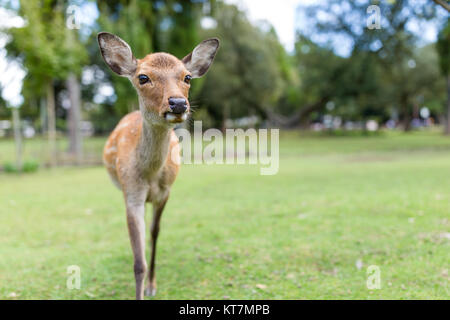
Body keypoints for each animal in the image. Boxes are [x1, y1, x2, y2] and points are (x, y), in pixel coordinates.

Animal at [97, 31, 219, 298]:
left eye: (187, 77)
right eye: (143, 77)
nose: (178, 103)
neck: (150, 175)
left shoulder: (165, 193)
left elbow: (155, 233)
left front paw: (152, 286)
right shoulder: (132, 194)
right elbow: (138, 261)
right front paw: (142, 288)